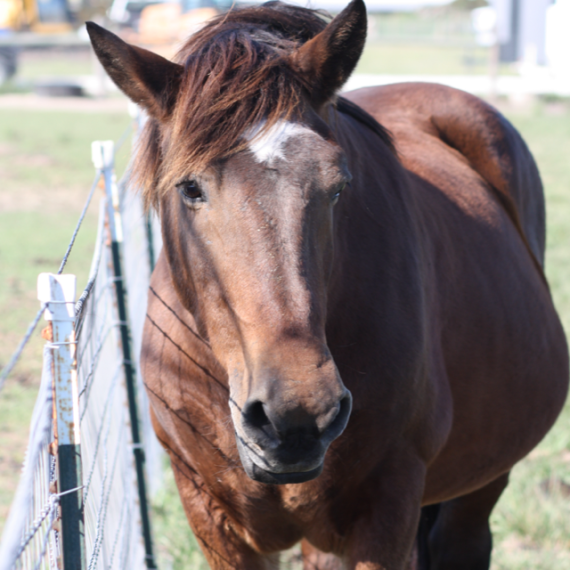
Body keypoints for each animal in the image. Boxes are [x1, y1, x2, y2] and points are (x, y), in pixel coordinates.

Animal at [86, 2, 564, 564]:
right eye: (189, 188)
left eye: (338, 186)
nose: (297, 415)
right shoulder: (211, 517)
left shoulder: (385, 512)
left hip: (481, 485)